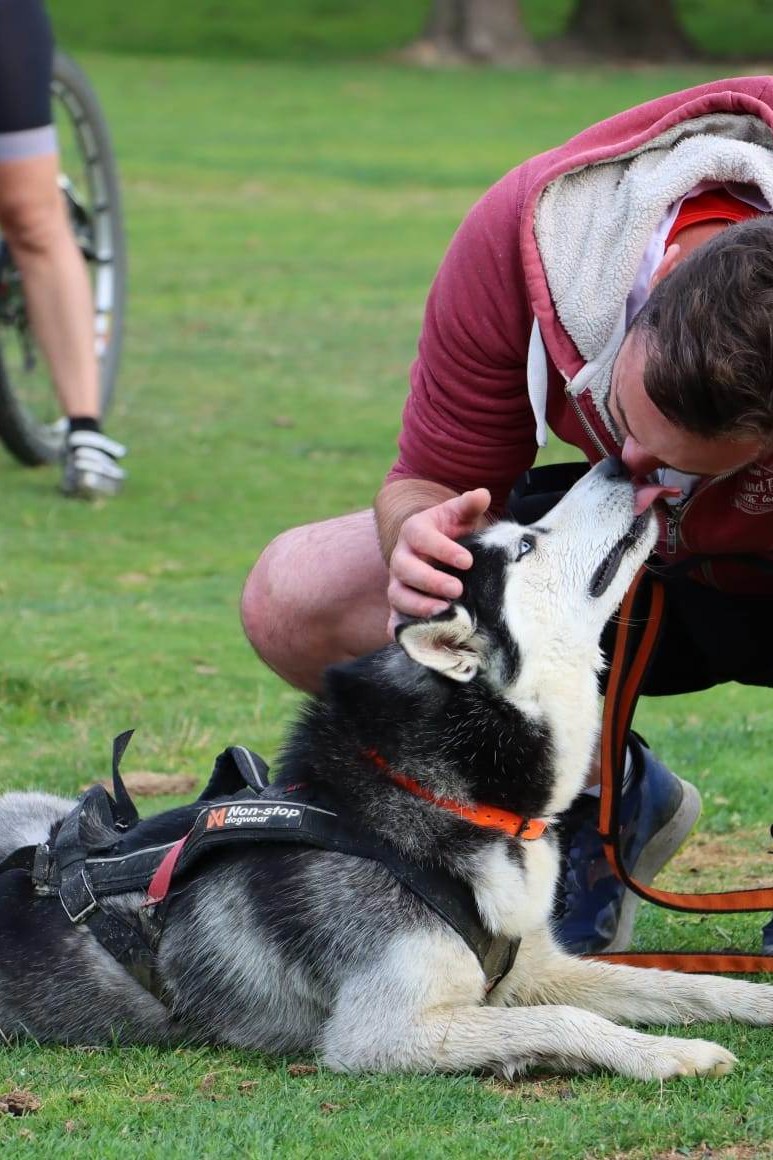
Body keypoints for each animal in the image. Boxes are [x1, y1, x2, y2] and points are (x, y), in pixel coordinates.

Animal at [1, 459, 770, 1076]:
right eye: (526, 545)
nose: (616, 462)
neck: (444, 799)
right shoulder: (382, 1032)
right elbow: (567, 1019)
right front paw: (668, 1054)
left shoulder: (535, 967)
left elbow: (681, 983)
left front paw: (753, 999)